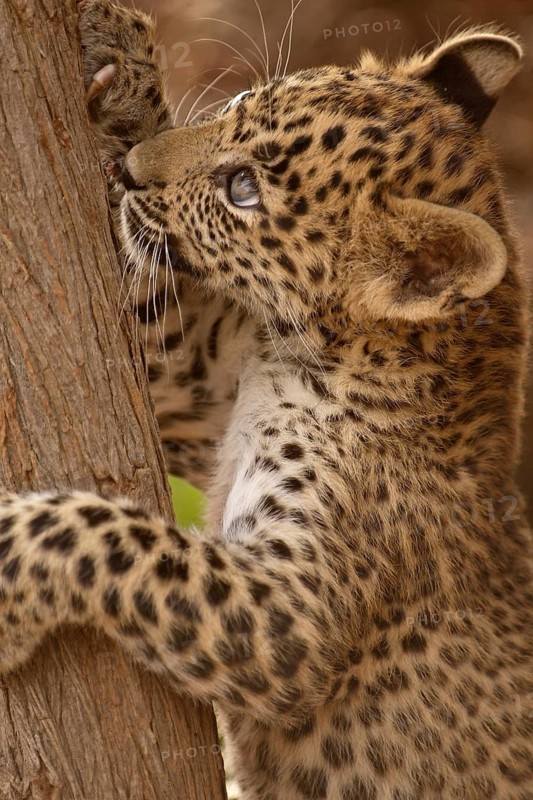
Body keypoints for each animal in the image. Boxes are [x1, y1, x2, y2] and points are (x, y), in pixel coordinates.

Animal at [1, 1, 532, 798]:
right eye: (234, 104)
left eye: (242, 190)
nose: (128, 171)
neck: (304, 357)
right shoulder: (201, 391)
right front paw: (115, 60)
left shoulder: (291, 618)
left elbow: (123, 541)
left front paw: (9, 553)